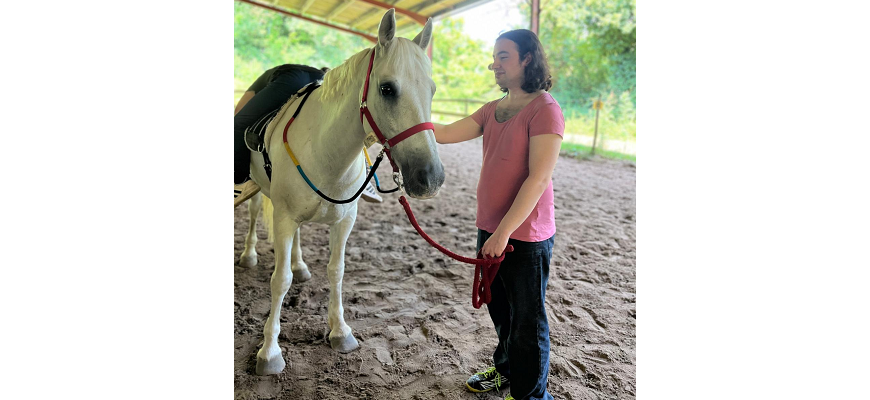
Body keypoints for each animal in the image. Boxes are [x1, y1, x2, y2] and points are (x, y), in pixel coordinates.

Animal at [237, 9, 444, 376]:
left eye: (431, 90)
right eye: (387, 89)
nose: (430, 177)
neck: (325, 151)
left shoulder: (344, 221)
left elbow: (336, 271)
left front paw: (340, 332)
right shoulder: (284, 218)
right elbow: (280, 280)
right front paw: (269, 352)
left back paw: (301, 265)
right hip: (260, 189)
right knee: (252, 215)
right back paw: (248, 255)